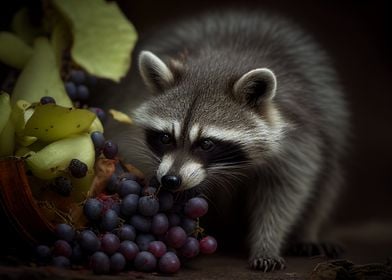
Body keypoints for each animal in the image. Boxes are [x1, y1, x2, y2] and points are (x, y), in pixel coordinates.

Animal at [103, 10, 350, 272]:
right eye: (165, 138)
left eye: (206, 143)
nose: (170, 180)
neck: (218, 63)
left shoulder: (300, 133)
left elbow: (286, 191)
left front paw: (268, 242)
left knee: (326, 182)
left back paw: (308, 234)